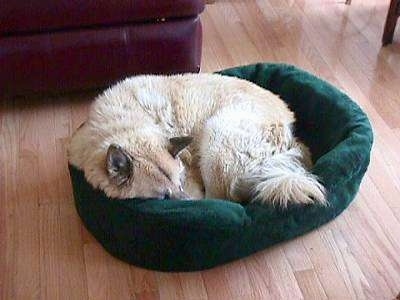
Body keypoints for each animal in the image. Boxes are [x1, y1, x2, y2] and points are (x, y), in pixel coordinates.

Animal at [68, 74, 324, 207]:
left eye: (180, 184)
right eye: (164, 197)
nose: (188, 201)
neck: (125, 123)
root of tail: (290, 137)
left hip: (216, 137)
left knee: (223, 200)